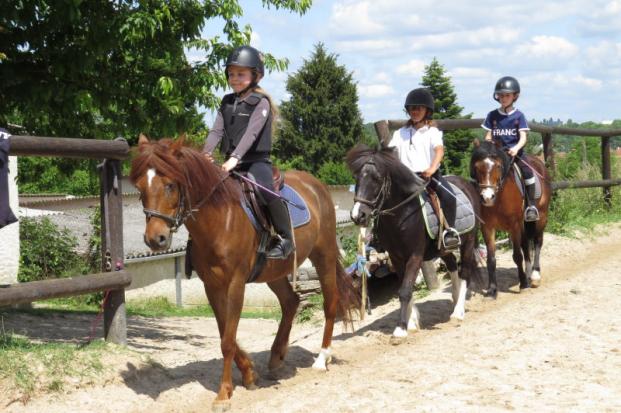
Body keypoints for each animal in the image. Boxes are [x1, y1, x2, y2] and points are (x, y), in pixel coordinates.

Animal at [130, 135, 358, 408]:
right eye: (140, 188)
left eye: (170, 185)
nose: (156, 239)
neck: (220, 218)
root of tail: (317, 186)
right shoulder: (211, 286)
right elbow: (224, 333)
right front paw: (249, 373)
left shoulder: (235, 284)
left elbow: (227, 341)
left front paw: (223, 393)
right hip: (274, 271)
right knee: (290, 301)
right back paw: (276, 357)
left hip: (323, 256)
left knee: (330, 303)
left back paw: (322, 358)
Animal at [346, 143, 482, 340]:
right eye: (356, 178)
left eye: (377, 178)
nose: (358, 215)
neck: (403, 214)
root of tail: (467, 185)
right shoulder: (396, 257)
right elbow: (405, 289)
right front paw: (411, 322)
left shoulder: (415, 256)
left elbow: (405, 291)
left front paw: (401, 328)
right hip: (443, 249)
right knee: (452, 266)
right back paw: (456, 301)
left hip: (468, 242)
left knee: (465, 271)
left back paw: (458, 312)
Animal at [470, 140, 552, 298]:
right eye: (476, 167)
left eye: (498, 166)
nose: (487, 197)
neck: (499, 198)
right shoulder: (487, 227)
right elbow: (491, 259)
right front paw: (492, 290)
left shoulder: (514, 225)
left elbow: (517, 256)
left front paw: (523, 284)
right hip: (523, 224)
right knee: (526, 244)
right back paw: (528, 273)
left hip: (541, 218)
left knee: (537, 242)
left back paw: (535, 276)